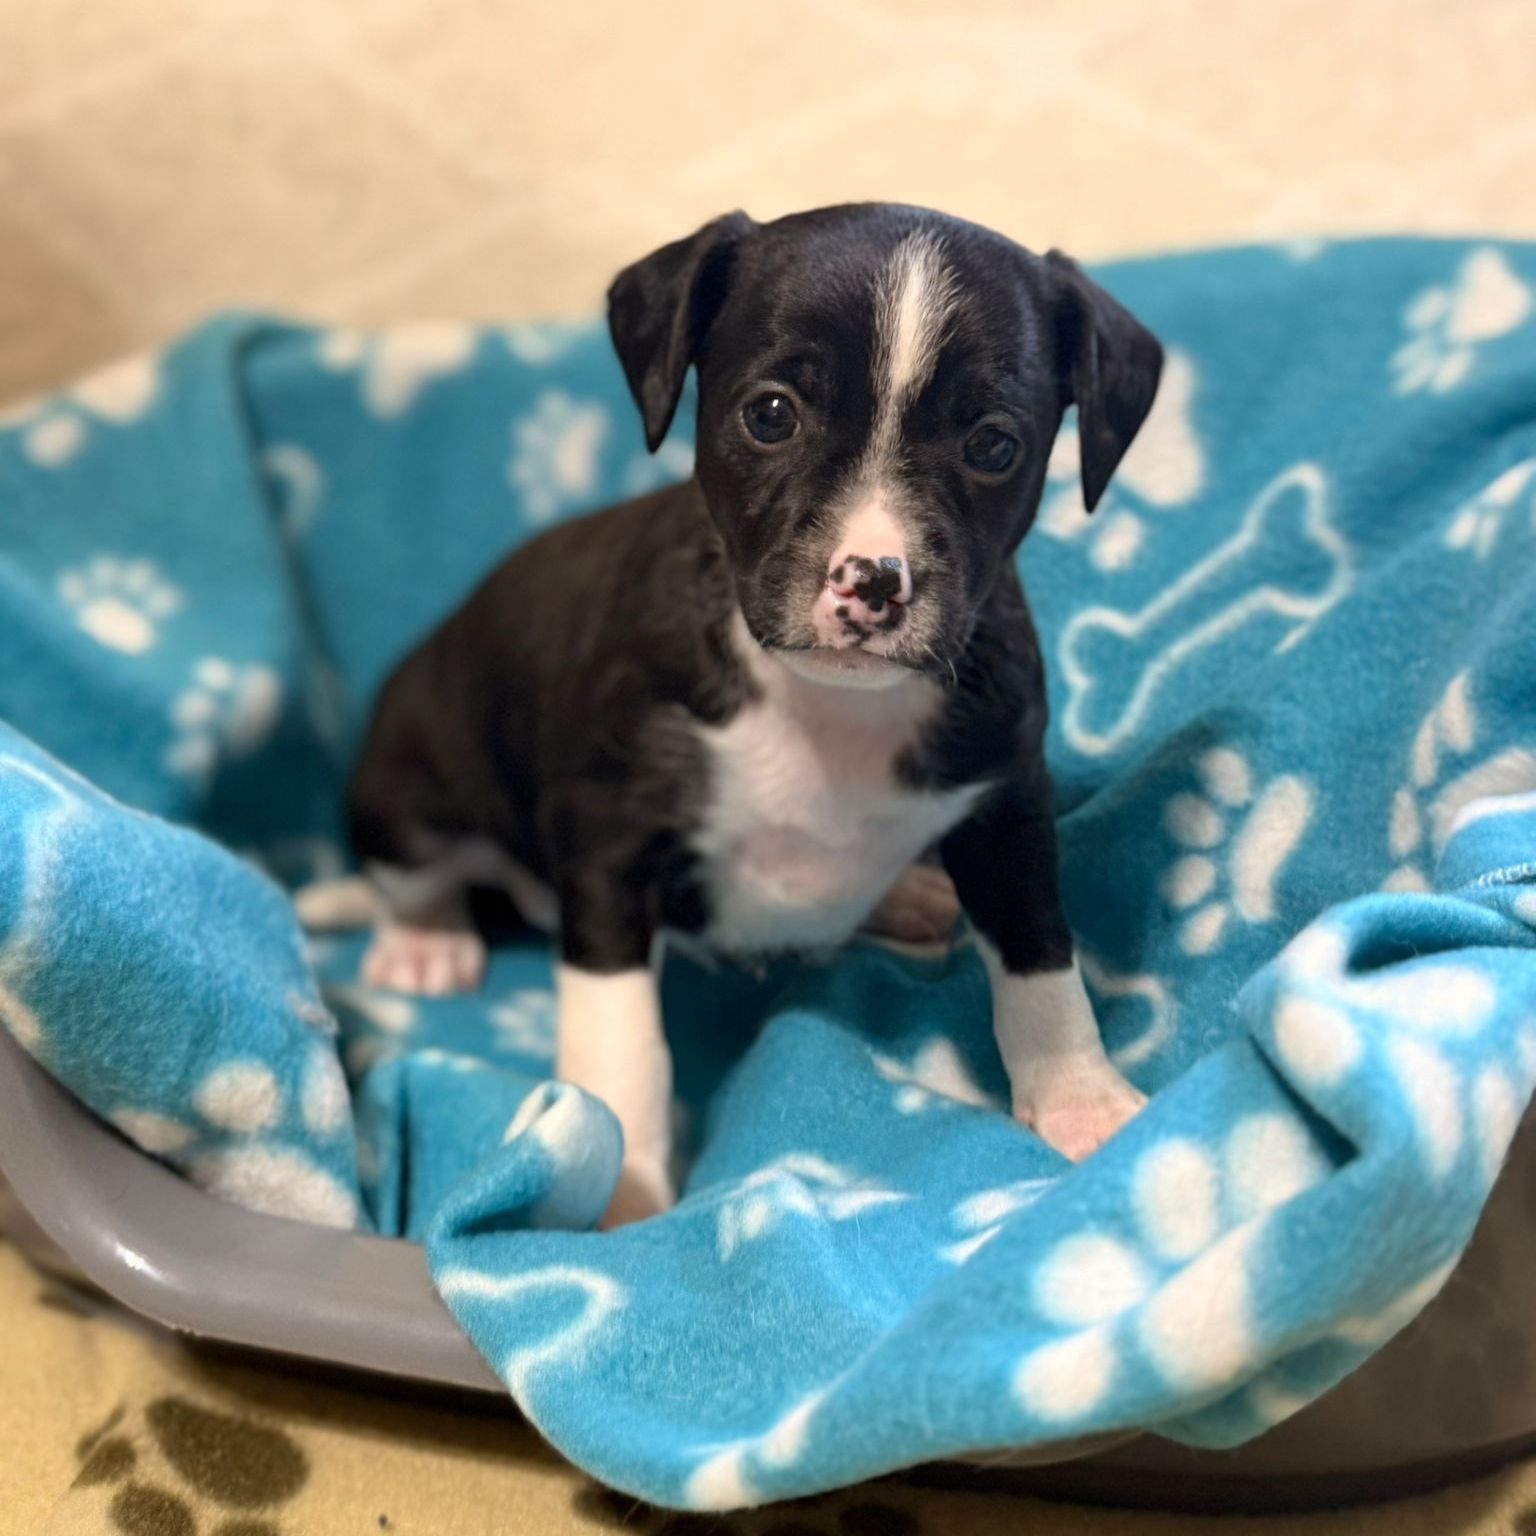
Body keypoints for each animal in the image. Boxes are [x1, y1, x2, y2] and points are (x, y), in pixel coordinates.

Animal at [314, 203, 1163, 1225]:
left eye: (995, 444)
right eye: (771, 414)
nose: (872, 581)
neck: (824, 703)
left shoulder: (1008, 802)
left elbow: (1040, 952)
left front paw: (1081, 1098)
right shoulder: (608, 849)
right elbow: (620, 1044)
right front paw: (623, 1190)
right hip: (411, 774)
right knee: (415, 868)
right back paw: (427, 941)